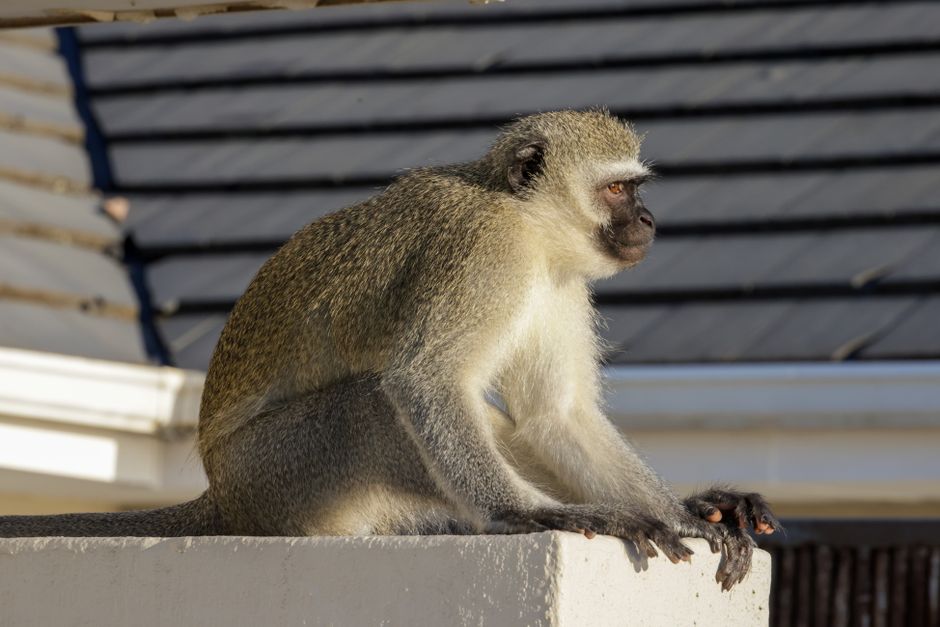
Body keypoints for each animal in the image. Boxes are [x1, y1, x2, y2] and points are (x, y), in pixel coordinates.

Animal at [0, 110, 778, 591]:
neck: (527, 224)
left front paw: (686, 515)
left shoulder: (559, 281)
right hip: (278, 470)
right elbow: (423, 381)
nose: (647, 220)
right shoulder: (483, 254)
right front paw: (532, 515)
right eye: (618, 189)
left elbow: (555, 418)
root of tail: (221, 491)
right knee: (372, 402)